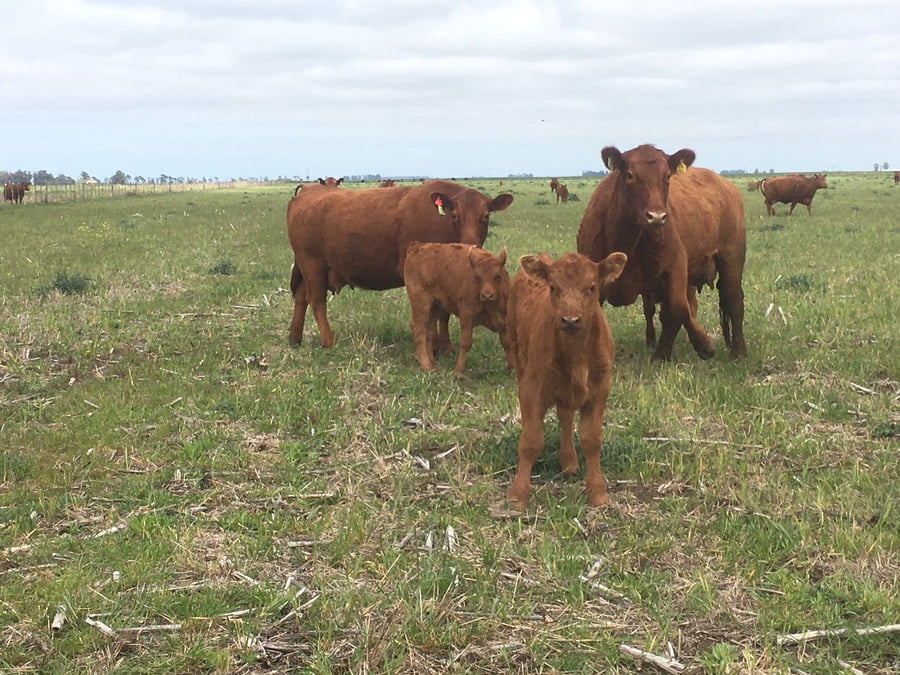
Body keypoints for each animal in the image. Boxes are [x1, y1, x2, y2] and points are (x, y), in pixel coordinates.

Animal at [287, 180, 514, 347]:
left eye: (485, 216)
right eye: (455, 215)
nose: (470, 246)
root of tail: (308, 190)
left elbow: (443, 314)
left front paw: (446, 347)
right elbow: (432, 314)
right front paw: (434, 347)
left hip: (308, 269)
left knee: (301, 297)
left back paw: (295, 337)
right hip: (313, 265)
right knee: (316, 300)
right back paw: (329, 341)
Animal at [404, 242, 512, 377]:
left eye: (498, 276)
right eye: (477, 277)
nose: (487, 295)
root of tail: (417, 247)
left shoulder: (504, 321)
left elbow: (506, 343)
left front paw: (511, 368)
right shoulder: (466, 316)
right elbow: (466, 342)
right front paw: (458, 372)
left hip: (435, 307)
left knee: (429, 331)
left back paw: (432, 364)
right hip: (421, 304)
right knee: (419, 330)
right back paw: (426, 365)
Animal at [505, 251, 627, 509]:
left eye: (592, 286)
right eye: (553, 287)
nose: (570, 320)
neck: (576, 356)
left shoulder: (600, 390)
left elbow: (591, 439)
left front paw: (597, 492)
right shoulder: (532, 387)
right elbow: (531, 440)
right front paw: (518, 494)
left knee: (565, 416)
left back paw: (569, 461)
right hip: (519, 359)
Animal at [576, 144, 747, 361]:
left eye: (667, 176)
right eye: (630, 175)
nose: (656, 216)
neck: (623, 242)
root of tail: (725, 184)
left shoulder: (675, 266)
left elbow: (679, 308)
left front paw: (704, 344)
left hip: (731, 257)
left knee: (733, 299)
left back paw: (738, 352)